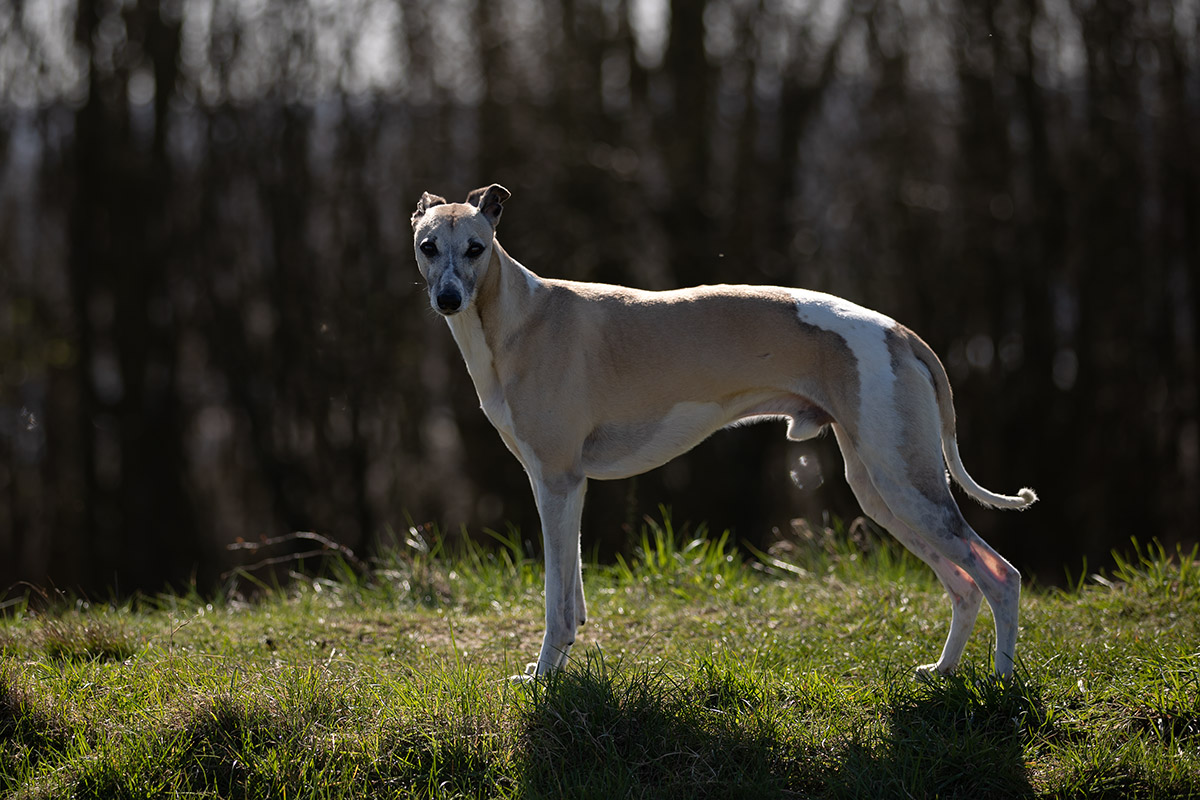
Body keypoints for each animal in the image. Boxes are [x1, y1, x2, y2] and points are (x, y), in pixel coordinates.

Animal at [410, 184, 1032, 681]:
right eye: (427, 246)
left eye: (476, 247)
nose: (448, 299)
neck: (519, 317)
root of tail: (900, 332)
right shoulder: (565, 485)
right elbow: (574, 590)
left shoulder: (557, 480)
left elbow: (555, 602)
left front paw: (542, 677)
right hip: (881, 490)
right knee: (964, 584)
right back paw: (943, 670)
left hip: (904, 483)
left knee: (999, 575)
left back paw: (1000, 681)